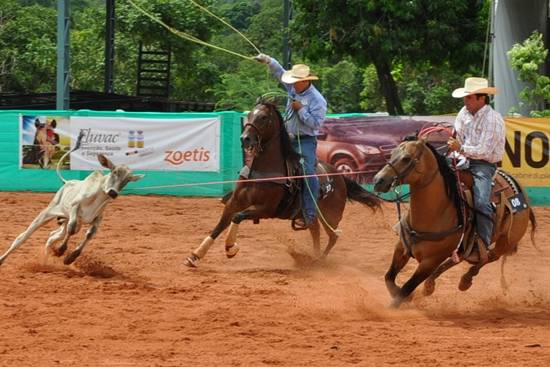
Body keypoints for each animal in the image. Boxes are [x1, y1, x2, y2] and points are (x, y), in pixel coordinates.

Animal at [0, 153, 144, 268]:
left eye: (127, 180)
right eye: (114, 171)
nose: (113, 193)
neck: (98, 196)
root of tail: (67, 182)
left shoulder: (97, 218)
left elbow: (89, 234)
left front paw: (70, 257)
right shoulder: (75, 208)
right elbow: (72, 228)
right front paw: (60, 250)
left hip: (66, 221)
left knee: (52, 236)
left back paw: (45, 261)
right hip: (47, 213)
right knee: (22, 237)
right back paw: (3, 259)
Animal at [183, 100, 382, 268]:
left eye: (263, 117)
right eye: (250, 114)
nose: (244, 138)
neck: (261, 171)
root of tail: (339, 177)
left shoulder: (266, 209)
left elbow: (237, 217)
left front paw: (231, 248)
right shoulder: (235, 202)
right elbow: (220, 225)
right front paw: (195, 255)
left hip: (330, 215)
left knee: (333, 236)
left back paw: (318, 261)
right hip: (312, 215)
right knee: (316, 232)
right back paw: (313, 257)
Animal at [374, 137, 536, 310]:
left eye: (406, 158)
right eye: (391, 154)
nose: (378, 180)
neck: (435, 213)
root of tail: (520, 191)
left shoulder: (430, 261)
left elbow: (406, 288)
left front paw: (395, 306)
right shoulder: (402, 248)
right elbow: (389, 277)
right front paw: (406, 296)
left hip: (506, 242)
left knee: (489, 257)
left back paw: (465, 280)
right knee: (457, 259)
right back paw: (430, 285)